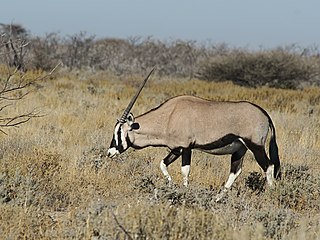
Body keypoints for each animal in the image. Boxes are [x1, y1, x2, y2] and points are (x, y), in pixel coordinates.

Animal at [107, 68, 280, 199]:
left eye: (119, 132)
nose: (109, 153)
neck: (169, 116)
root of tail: (264, 114)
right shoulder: (176, 149)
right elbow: (163, 164)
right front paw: (171, 186)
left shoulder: (186, 147)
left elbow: (185, 170)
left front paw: (183, 193)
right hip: (240, 149)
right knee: (235, 171)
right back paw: (217, 198)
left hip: (255, 146)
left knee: (269, 166)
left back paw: (271, 195)